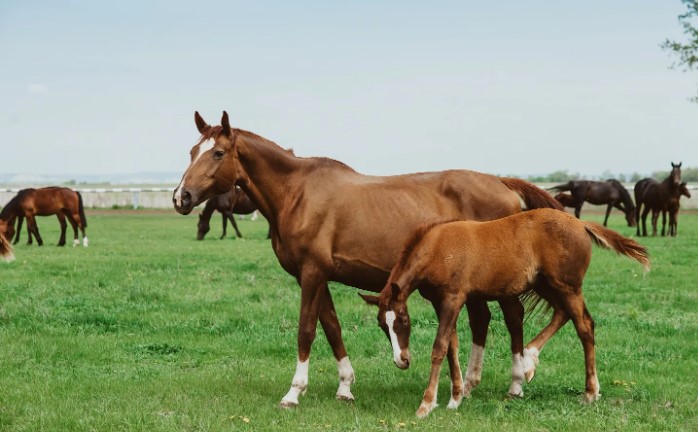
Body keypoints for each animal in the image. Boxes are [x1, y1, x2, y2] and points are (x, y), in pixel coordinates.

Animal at [171, 110, 564, 408]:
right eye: (192, 151)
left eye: (218, 153)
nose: (181, 197)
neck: (298, 194)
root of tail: (503, 183)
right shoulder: (315, 276)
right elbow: (331, 326)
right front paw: (345, 386)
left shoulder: (311, 274)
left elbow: (306, 330)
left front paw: (294, 393)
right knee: (482, 319)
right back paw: (467, 386)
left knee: (512, 317)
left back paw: (516, 381)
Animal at [358, 209, 648, 418]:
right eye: (382, 325)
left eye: (404, 320)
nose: (402, 361)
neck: (438, 247)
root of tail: (579, 222)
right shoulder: (440, 302)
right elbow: (452, 346)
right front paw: (455, 397)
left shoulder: (453, 298)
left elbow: (440, 347)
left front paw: (426, 405)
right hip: (545, 284)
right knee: (562, 314)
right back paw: (528, 362)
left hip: (567, 286)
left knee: (585, 326)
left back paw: (590, 392)